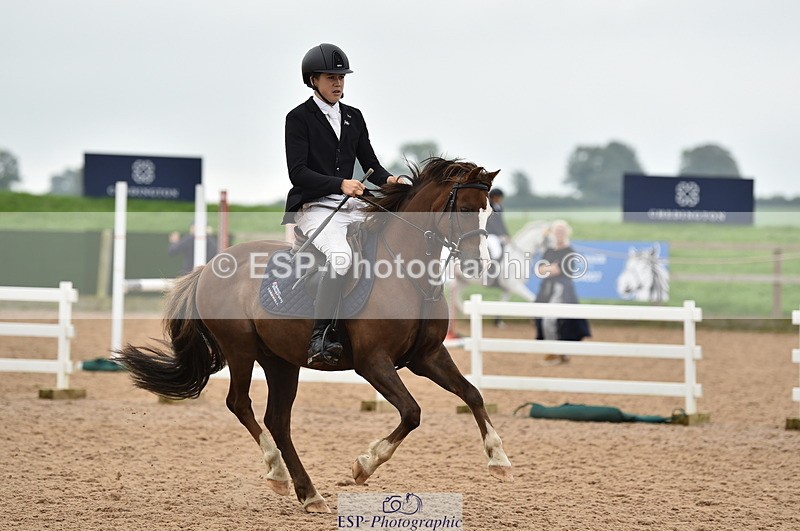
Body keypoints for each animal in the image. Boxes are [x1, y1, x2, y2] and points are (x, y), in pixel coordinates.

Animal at [115, 158, 514, 514]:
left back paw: (309, 494)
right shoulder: (373, 362)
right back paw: (277, 473)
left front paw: (499, 459)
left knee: (278, 420)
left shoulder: (427, 356)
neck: (405, 272)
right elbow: (412, 412)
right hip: (241, 350)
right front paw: (364, 465)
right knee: (240, 404)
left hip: (280, 361)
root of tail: (211, 266)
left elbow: (473, 394)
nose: (479, 266)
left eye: (488, 213)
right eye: (465, 209)